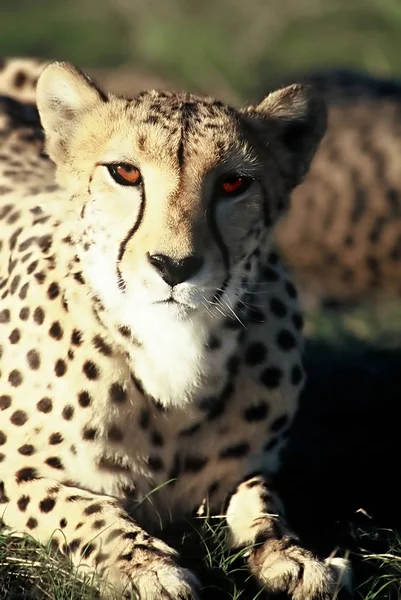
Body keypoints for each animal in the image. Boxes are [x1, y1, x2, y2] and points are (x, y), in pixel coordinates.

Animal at [0, 62, 348, 600]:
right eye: (125, 173)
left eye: (233, 184)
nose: (174, 266)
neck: (171, 350)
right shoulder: (15, 471)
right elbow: (86, 508)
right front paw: (146, 565)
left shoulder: (249, 470)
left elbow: (263, 502)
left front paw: (293, 556)